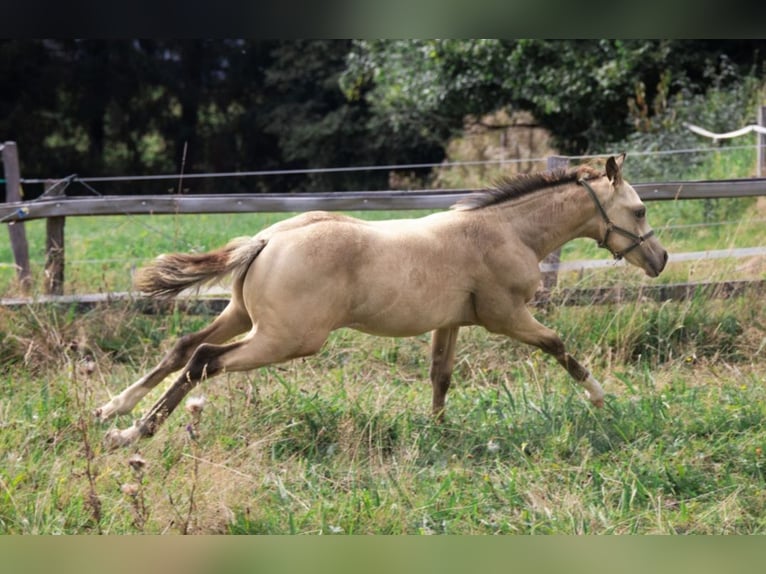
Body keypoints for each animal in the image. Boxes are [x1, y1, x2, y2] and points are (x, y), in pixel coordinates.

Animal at [96, 154, 668, 450]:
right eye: (639, 211)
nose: (660, 259)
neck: (508, 232)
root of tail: (266, 239)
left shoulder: (451, 321)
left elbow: (441, 375)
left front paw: (437, 432)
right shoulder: (505, 316)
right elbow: (558, 345)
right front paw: (601, 399)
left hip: (241, 315)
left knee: (183, 347)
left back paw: (114, 411)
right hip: (287, 338)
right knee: (204, 360)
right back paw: (133, 432)